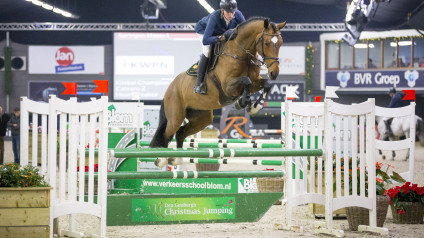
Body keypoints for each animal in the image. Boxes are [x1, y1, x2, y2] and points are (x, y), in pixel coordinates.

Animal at [151, 17, 286, 167]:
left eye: (280, 43)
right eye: (267, 43)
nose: (274, 73)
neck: (241, 54)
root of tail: (170, 87)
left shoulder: (255, 82)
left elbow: (266, 84)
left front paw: (254, 106)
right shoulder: (228, 86)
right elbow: (246, 81)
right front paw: (242, 102)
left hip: (202, 117)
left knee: (180, 133)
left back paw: (177, 159)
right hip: (175, 116)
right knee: (167, 134)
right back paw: (161, 159)